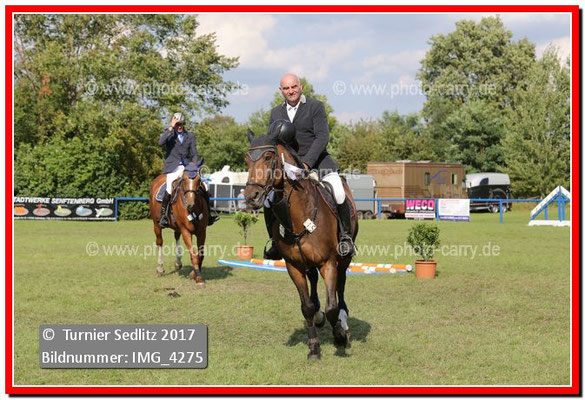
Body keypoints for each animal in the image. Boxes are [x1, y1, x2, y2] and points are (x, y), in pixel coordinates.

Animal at [244, 131, 358, 359]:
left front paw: (339, 337)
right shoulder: (293, 266)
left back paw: (343, 320)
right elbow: (306, 306)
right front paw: (313, 347)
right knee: (313, 280)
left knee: (341, 285)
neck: (300, 214)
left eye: (268, 157)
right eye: (246, 159)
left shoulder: (328, 263)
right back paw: (319, 316)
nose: (251, 197)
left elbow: (332, 306)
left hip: (343, 259)